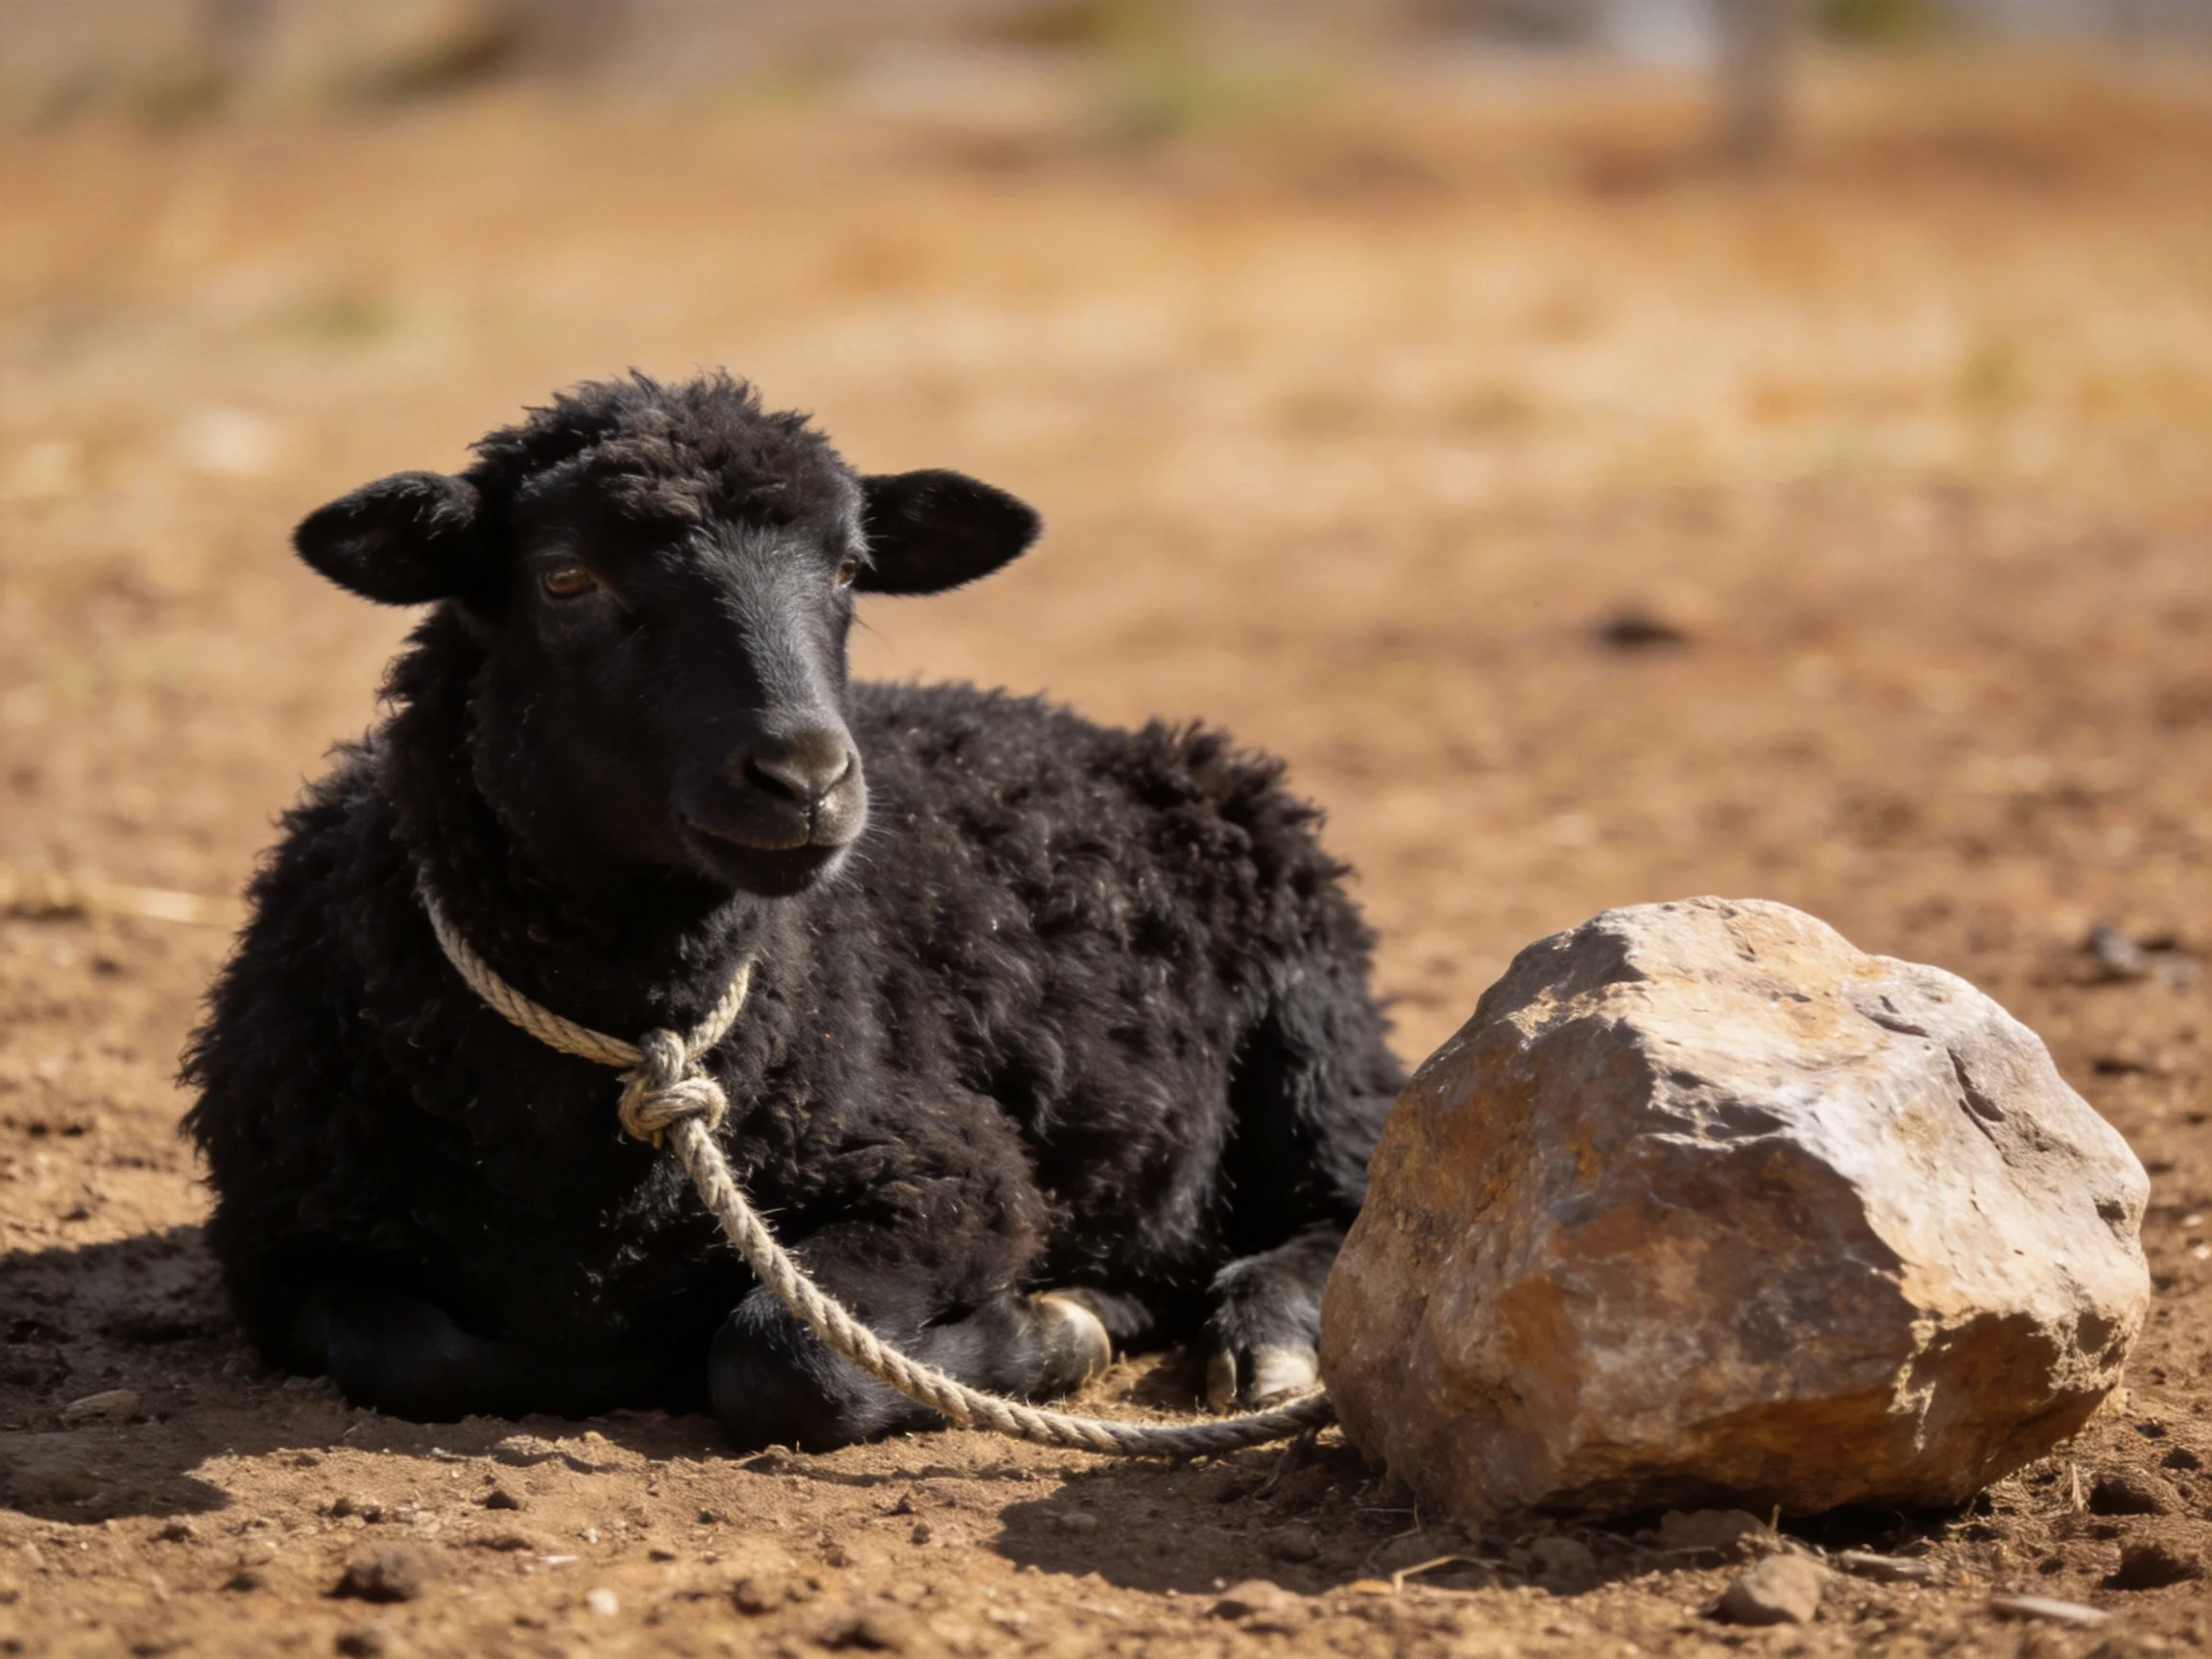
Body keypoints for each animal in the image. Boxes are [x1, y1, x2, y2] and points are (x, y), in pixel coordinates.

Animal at [183, 371, 1405, 1450]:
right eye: (565, 580)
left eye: (851, 570)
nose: (807, 777)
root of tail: (1120, 732)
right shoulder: (278, 1239)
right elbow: (423, 1358)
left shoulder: (953, 1173)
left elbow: (784, 1354)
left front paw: (1049, 1333)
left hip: (1312, 1024)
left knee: (1347, 1196)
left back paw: (1257, 1333)